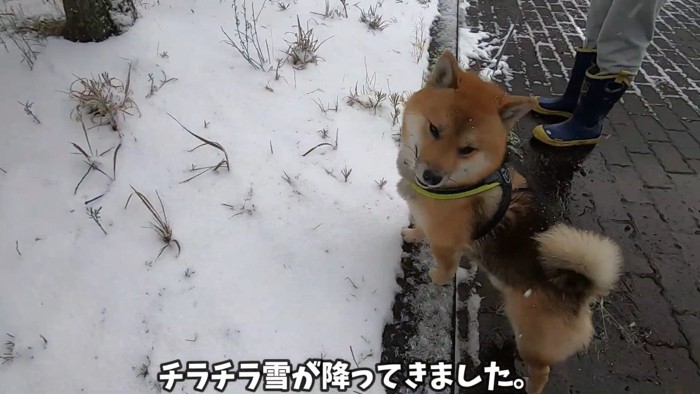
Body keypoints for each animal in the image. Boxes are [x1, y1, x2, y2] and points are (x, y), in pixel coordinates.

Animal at [396, 50, 620, 392]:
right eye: (434, 129)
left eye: (467, 149)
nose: (431, 176)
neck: (462, 184)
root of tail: (579, 290)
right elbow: (420, 227)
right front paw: (412, 235)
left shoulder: (447, 246)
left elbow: (445, 268)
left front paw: (436, 278)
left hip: (531, 338)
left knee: (542, 371)